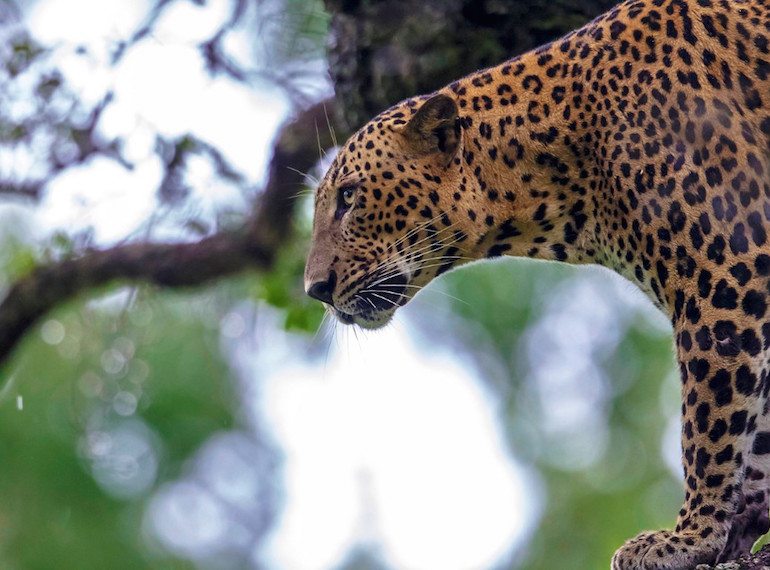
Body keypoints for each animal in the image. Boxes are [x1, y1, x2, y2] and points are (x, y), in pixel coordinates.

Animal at [304, 2, 768, 564]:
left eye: (349, 197)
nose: (314, 288)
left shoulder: (724, 271)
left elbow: (710, 424)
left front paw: (691, 536)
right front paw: (744, 521)